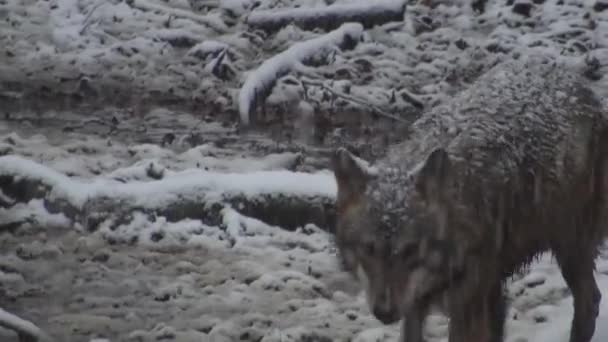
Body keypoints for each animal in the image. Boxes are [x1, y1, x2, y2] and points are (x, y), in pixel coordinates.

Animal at [330, 56, 608, 342]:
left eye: (411, 250)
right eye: (369, 249)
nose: (385, 312)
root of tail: (581, 85)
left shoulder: (465, 305)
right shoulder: (417, 304)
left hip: (568, 246)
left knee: (591, 299)